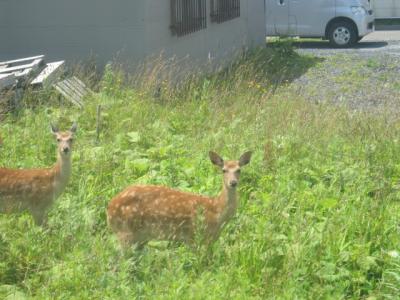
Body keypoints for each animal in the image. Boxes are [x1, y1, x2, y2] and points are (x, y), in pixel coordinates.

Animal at [106, 150, 250, 248]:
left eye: (239, 170)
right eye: (224, 170)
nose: (233, 183)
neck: (216, 210)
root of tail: (109, 207)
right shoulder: (194, 236)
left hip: (139, 237)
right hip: (124, 231)